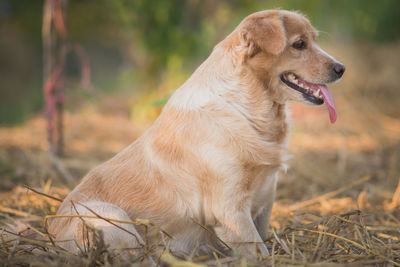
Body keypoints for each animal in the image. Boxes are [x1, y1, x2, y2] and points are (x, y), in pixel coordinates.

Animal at [49, 9, 344, 260]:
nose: (341, 68)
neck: (250, 110)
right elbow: (259, 252)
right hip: (111, 218)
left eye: (314, 40)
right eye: (299, 44)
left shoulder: (265, 197)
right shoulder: (230, 211)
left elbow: (264, 239)